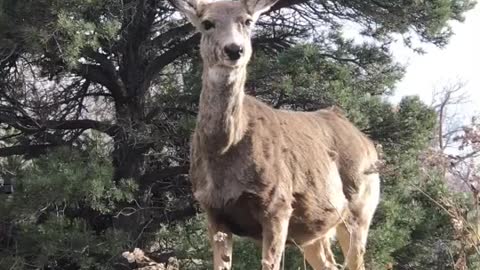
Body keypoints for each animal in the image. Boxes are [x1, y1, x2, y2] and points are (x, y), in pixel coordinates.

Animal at [167, 0, 380, 268]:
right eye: (207, 23)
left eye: (248, 21)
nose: (234, 49)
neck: (225, 150)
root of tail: (369, 143)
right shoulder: (213, 211)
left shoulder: (278, 205)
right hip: (313, 229)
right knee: (330, 262)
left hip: (360, 208)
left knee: (356, 259)